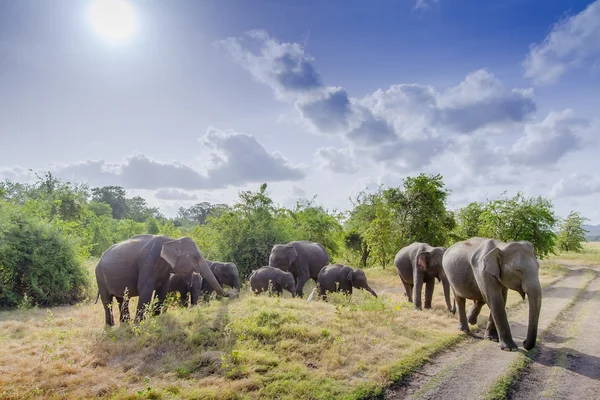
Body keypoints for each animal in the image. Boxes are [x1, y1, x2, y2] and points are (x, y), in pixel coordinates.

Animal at [95, 234, 233, 324]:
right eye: (195, 257)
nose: (232, 294)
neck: (172, 240)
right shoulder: (147, 263)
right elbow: (145, 290)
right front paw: (139, 323)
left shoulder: (165, 269)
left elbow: (162, 291)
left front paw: (155, 318)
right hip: (99, 277)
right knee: (107, 300)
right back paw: (111, 325)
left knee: (122, 299)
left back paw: (124, 322)